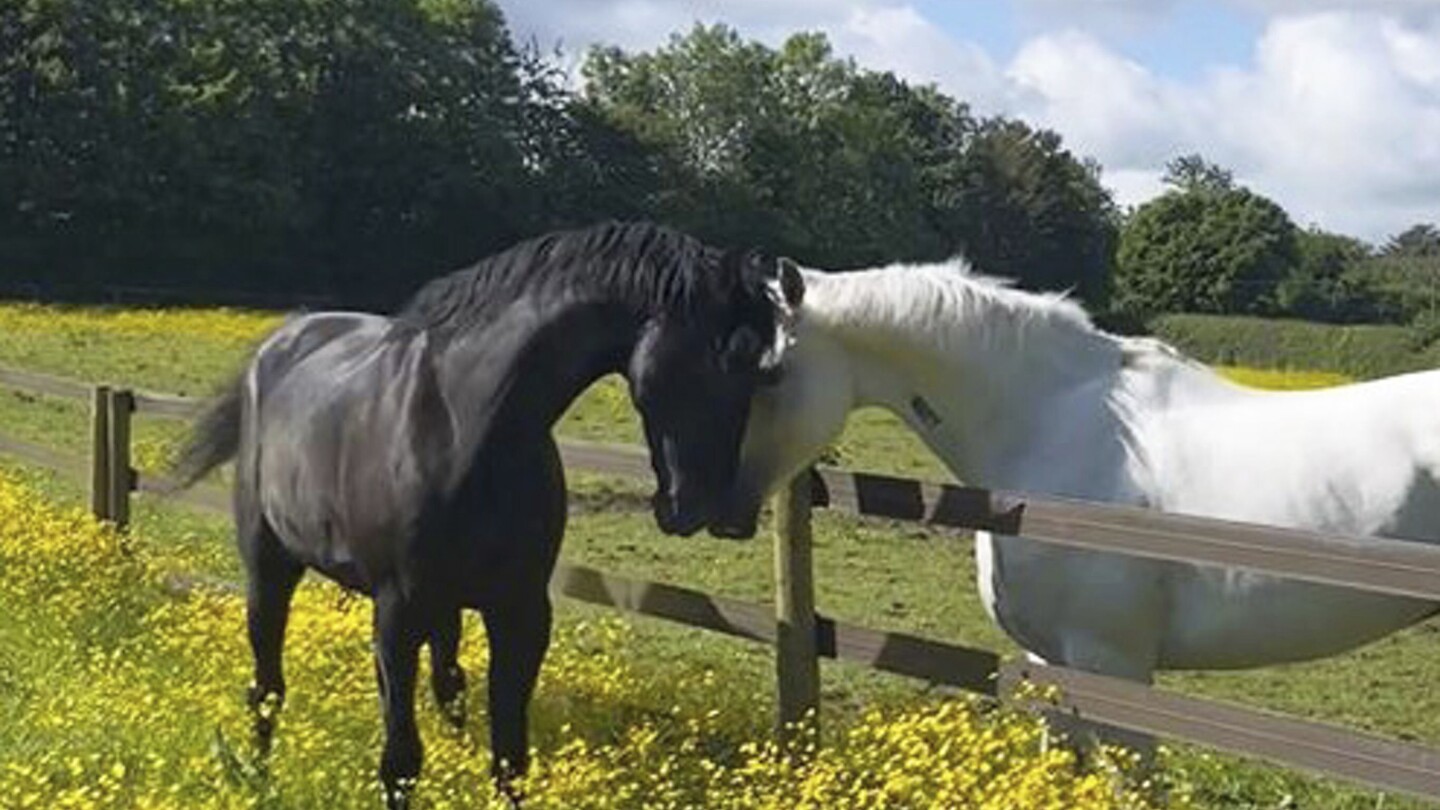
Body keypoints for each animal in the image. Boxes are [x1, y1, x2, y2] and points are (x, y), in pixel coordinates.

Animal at [169, 222, 804, 807]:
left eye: (764, 371)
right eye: (718, 358)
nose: (710, 509)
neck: (463, 426)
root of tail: (278, 345)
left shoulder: (520, 612)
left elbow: (508, 757)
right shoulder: (397, 612)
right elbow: (401, 760)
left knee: (444, 684)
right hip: (271, 569)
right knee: (267, 688)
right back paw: (258, 779)